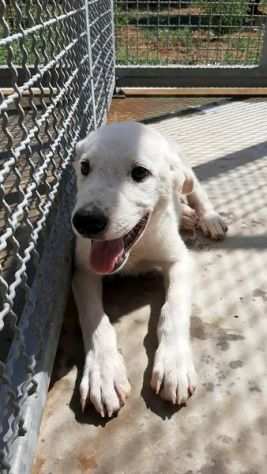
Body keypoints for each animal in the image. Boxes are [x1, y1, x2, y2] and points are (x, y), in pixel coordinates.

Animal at [71, 122, 228, 418]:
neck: (136, 250)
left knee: (196, 193)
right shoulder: (82, 272)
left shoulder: (180, 261)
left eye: (140, 173)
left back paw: (208, 218)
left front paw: (174, 364)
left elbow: (173, 309)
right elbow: (96, 321)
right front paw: (103, 373)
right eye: (85, 167)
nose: (85, 221)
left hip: (188, 174)